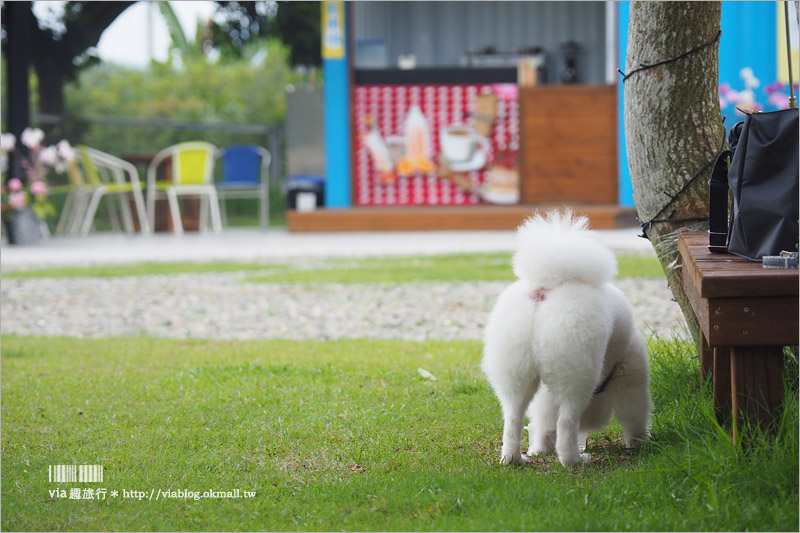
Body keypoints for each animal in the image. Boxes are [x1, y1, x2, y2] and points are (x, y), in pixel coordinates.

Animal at [482, 210, 648, 464]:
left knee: (513, 418)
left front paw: (541, 447)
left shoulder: (545, 392)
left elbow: (544, 422)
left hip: (515, 371)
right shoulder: (630, 373)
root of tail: (545, 289)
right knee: (567, 421)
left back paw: (514, 459)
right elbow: (634, 414)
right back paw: (573, 460)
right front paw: (640, 443)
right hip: (577, 372)